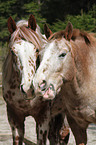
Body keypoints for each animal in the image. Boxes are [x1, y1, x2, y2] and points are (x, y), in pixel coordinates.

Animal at [2, 15, 70, 145]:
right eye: (12, 51)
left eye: (37, 50)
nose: (28, 89)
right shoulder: (14, 117)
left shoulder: (43, 117)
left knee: (63, 134)